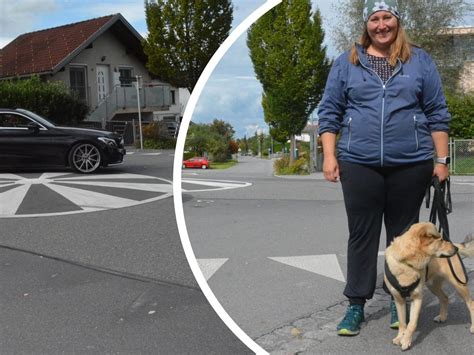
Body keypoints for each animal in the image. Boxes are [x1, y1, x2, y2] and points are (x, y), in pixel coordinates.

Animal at [384, 224, 474, 352]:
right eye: (440, 240)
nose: (455, 249)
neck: (407, 263)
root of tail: (455, 243)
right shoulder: (398, 299)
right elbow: (402, 322)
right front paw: (400, 337)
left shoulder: (417, 298)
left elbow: (412, 323)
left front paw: (406, 341)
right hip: (433, 286)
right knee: (445, 298)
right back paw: (442, 317)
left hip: (459, 284)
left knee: (471, 304)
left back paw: (473, 327)